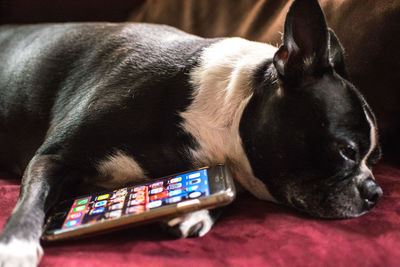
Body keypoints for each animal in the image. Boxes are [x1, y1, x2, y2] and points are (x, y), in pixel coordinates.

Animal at [0, 0, 382, 266]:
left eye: (376, 158)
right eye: (346, 150)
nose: (375, 192)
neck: (221, 116)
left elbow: (227, 191)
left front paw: (196, 211)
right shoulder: (52, 157)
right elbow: (32, 201)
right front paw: (16, 246)